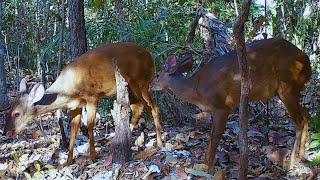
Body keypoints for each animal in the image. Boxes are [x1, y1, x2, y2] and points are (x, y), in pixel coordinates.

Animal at [5, 41, 164, 165]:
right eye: (9, 110)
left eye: (17, 114)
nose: (7, 132)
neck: (67, 91)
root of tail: (150, 55)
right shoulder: (75, 106)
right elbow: (74, 130)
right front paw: (68, 161)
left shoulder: (92, 96)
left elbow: (90, 125)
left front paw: (92, 157)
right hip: (129, 87)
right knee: (138, 107)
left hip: (141, 81)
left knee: (153, 107)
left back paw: (159, 144)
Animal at [151, 38, 312, 172]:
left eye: (157, 75)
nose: (150, 85)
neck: (196, 89)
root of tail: (307, 62)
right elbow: (212, 134)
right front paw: (205, 163)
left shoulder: (222, 105)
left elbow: (215, 135)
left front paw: (206, 166)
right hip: (291, 90)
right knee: (306, 116)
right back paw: (302, 156)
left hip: (287, 87)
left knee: (300, 121)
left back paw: (291, 163)